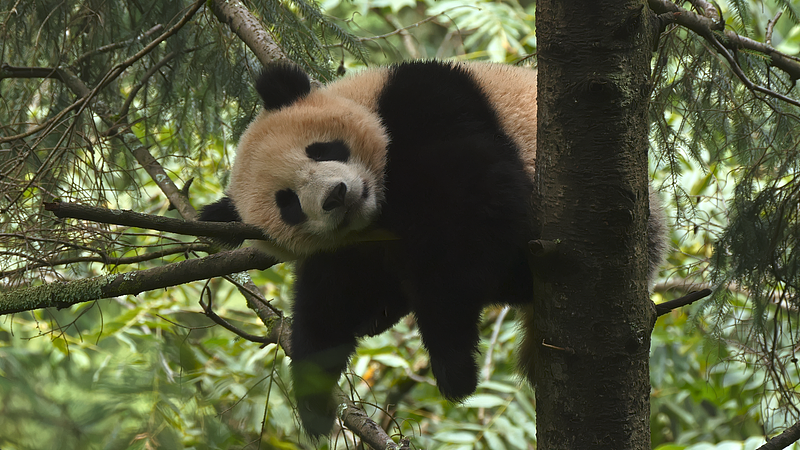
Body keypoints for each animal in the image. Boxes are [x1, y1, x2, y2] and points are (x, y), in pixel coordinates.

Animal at [200, 60, 666, 437]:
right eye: (289, 204)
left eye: (322, 149)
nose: (335, 196)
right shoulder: (350, 245)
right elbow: (329, 300)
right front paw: (314, 404)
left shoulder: (429, 100)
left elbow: (473, 207)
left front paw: (453, 363)